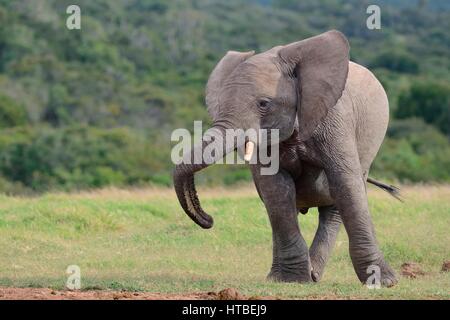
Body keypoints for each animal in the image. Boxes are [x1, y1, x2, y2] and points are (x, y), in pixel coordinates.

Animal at [172, 30, 398, 286]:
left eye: (264, 104)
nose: (208, 219)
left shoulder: (335, 119)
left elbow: (346, 182)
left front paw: (384, 282)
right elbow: (276, 190)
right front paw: (291, 280)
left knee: (336, 204)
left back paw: (314, 274)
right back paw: (299, 275)